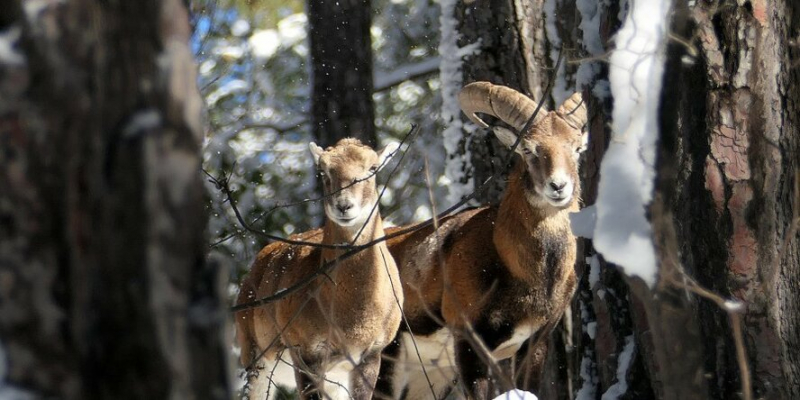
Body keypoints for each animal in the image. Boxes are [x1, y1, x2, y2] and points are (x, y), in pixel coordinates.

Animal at [234, 138, 404, 400]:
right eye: (323, 171)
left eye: (373, 168)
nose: (344, 206)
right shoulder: (305, 351)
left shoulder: (372, 352)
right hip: (255, 353)